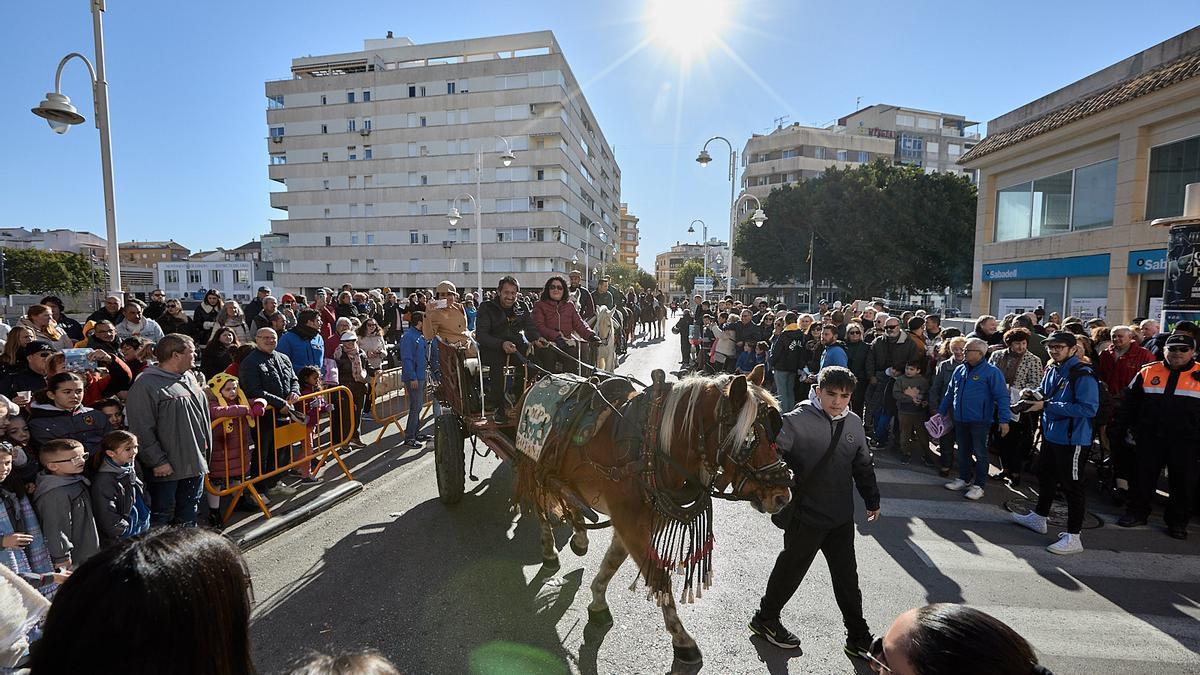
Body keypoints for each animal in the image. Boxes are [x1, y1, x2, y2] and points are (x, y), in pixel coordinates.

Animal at [511, 365, 792, 667]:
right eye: (750, 439)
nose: (782, 496)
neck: (651, 446)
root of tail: (537, 380)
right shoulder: (630, 524)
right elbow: (658, 578)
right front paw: (683, 640)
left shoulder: (634, 523)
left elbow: (612, 562)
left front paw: (597, 599)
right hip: (535, 466)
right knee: (541, 506)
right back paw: (550, 550)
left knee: (570, 499)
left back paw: (580, 536)